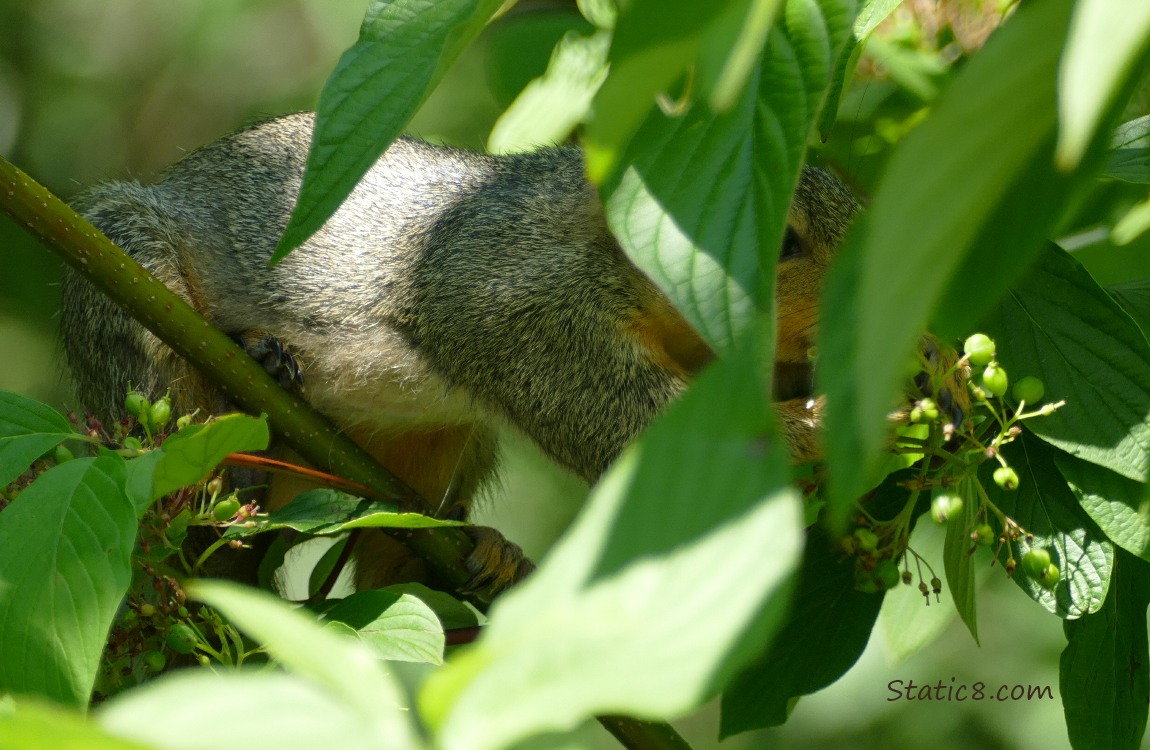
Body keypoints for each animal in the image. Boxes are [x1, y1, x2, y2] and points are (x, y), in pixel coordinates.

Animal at [59, 111, 894, 590]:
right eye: (781, 244)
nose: (871, 311)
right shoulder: (513, 304)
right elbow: (626, 426)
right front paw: (818, 427)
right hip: (128, 279)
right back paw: (236, 403)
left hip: (437, 443)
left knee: (385, 558)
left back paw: (479, 552)